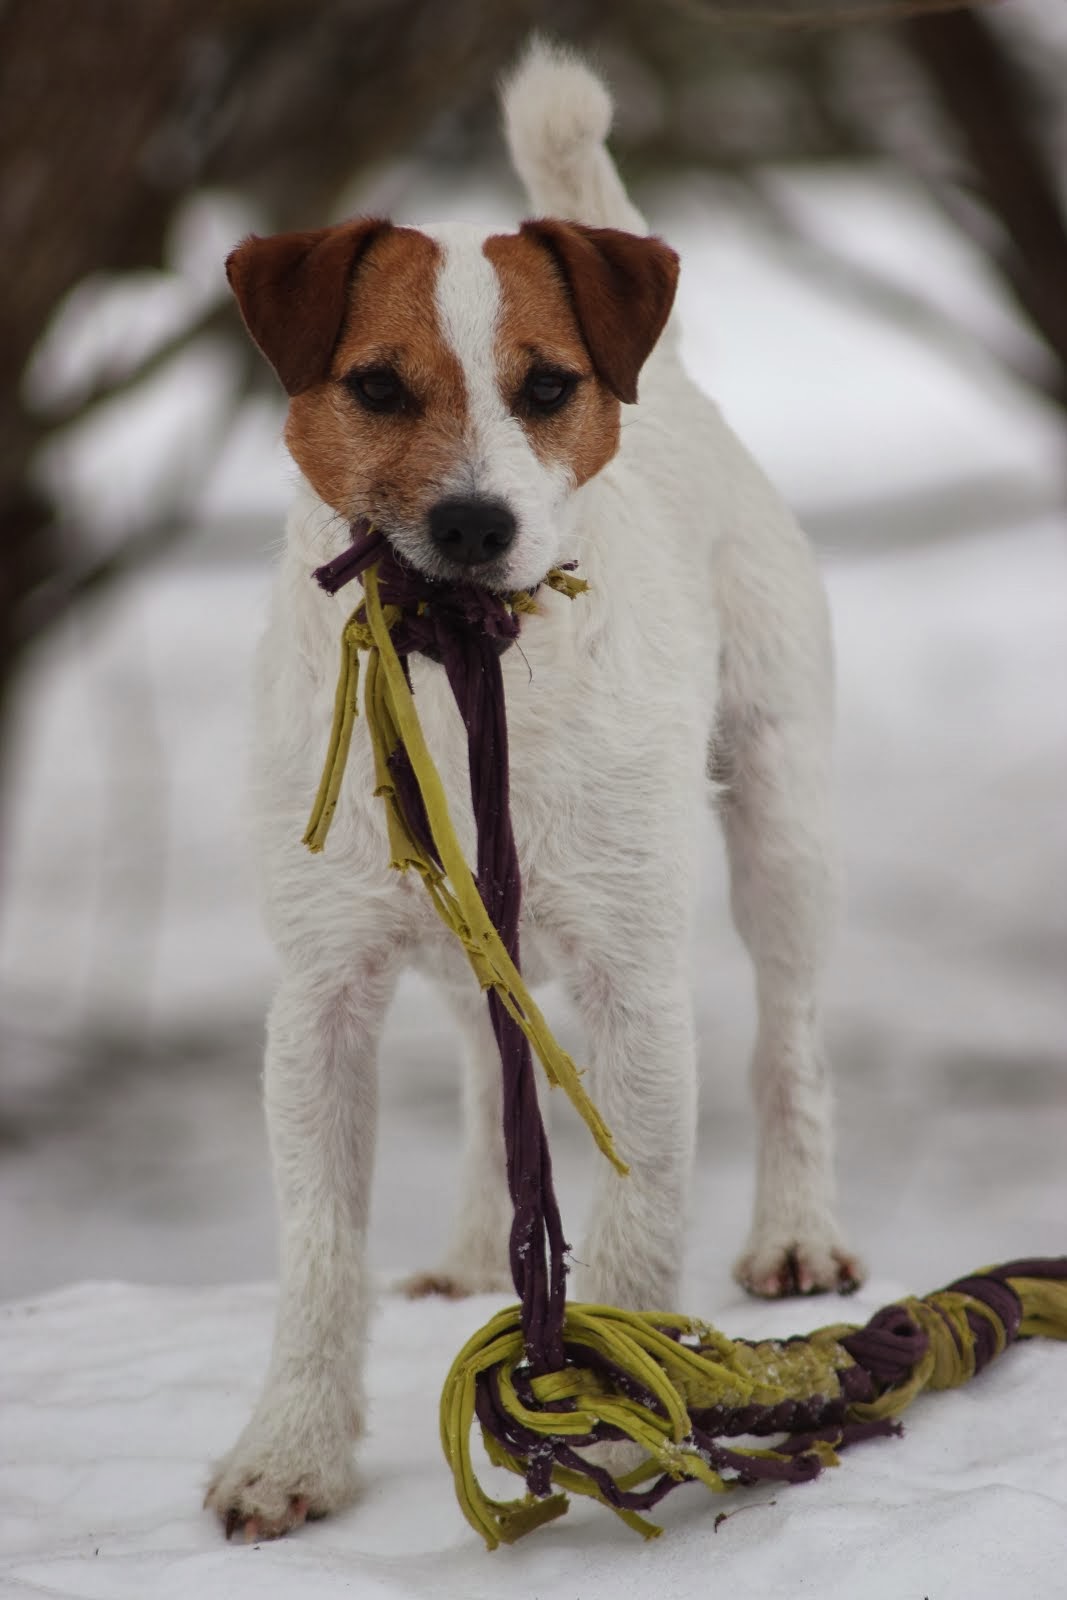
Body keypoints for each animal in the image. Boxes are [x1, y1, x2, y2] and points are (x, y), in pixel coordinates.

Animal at [204, 40, 863, 1536]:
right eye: (378, 387)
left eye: (547, 387)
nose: (471, 524)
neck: (462, 675)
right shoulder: (319, 994)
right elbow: (318, 1246)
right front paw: (289, 1452)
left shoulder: (633, 975)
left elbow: (636, 1216)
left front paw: (612, 1408)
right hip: (460, 940)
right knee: (474, 1065)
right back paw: (461, 1249)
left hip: (786, 820)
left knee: (791, 1041)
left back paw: (797, 1230)